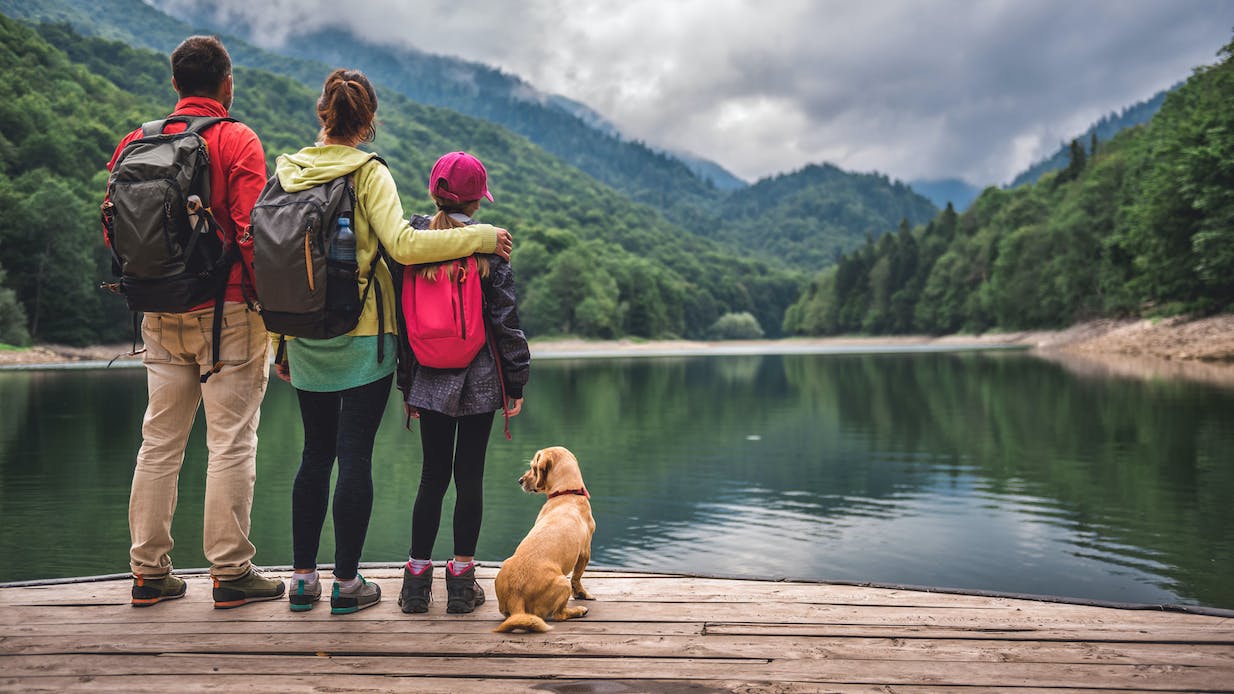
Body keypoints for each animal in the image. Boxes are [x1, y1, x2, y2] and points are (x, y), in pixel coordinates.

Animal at [496, 444, 602, 629]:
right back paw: (579, 610)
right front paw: (583, 594)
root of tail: (516, 595)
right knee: (560, 614)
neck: (566, 493)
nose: (520, 480)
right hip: (563, 583)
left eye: (533, 468)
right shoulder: (584, 553)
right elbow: (577, 577)